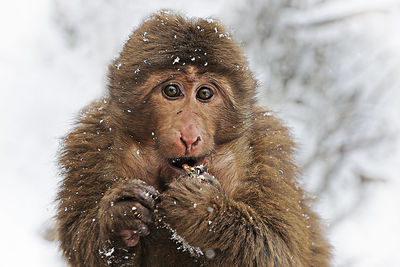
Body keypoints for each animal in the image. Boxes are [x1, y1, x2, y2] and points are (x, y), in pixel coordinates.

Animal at [56, 11, 332, 267]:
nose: (189, 135)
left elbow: (279, 253)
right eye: (171, 90)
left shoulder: (269, 154)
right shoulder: (89, 145)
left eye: (205, 93)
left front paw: (204, 210)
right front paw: (119, 217)